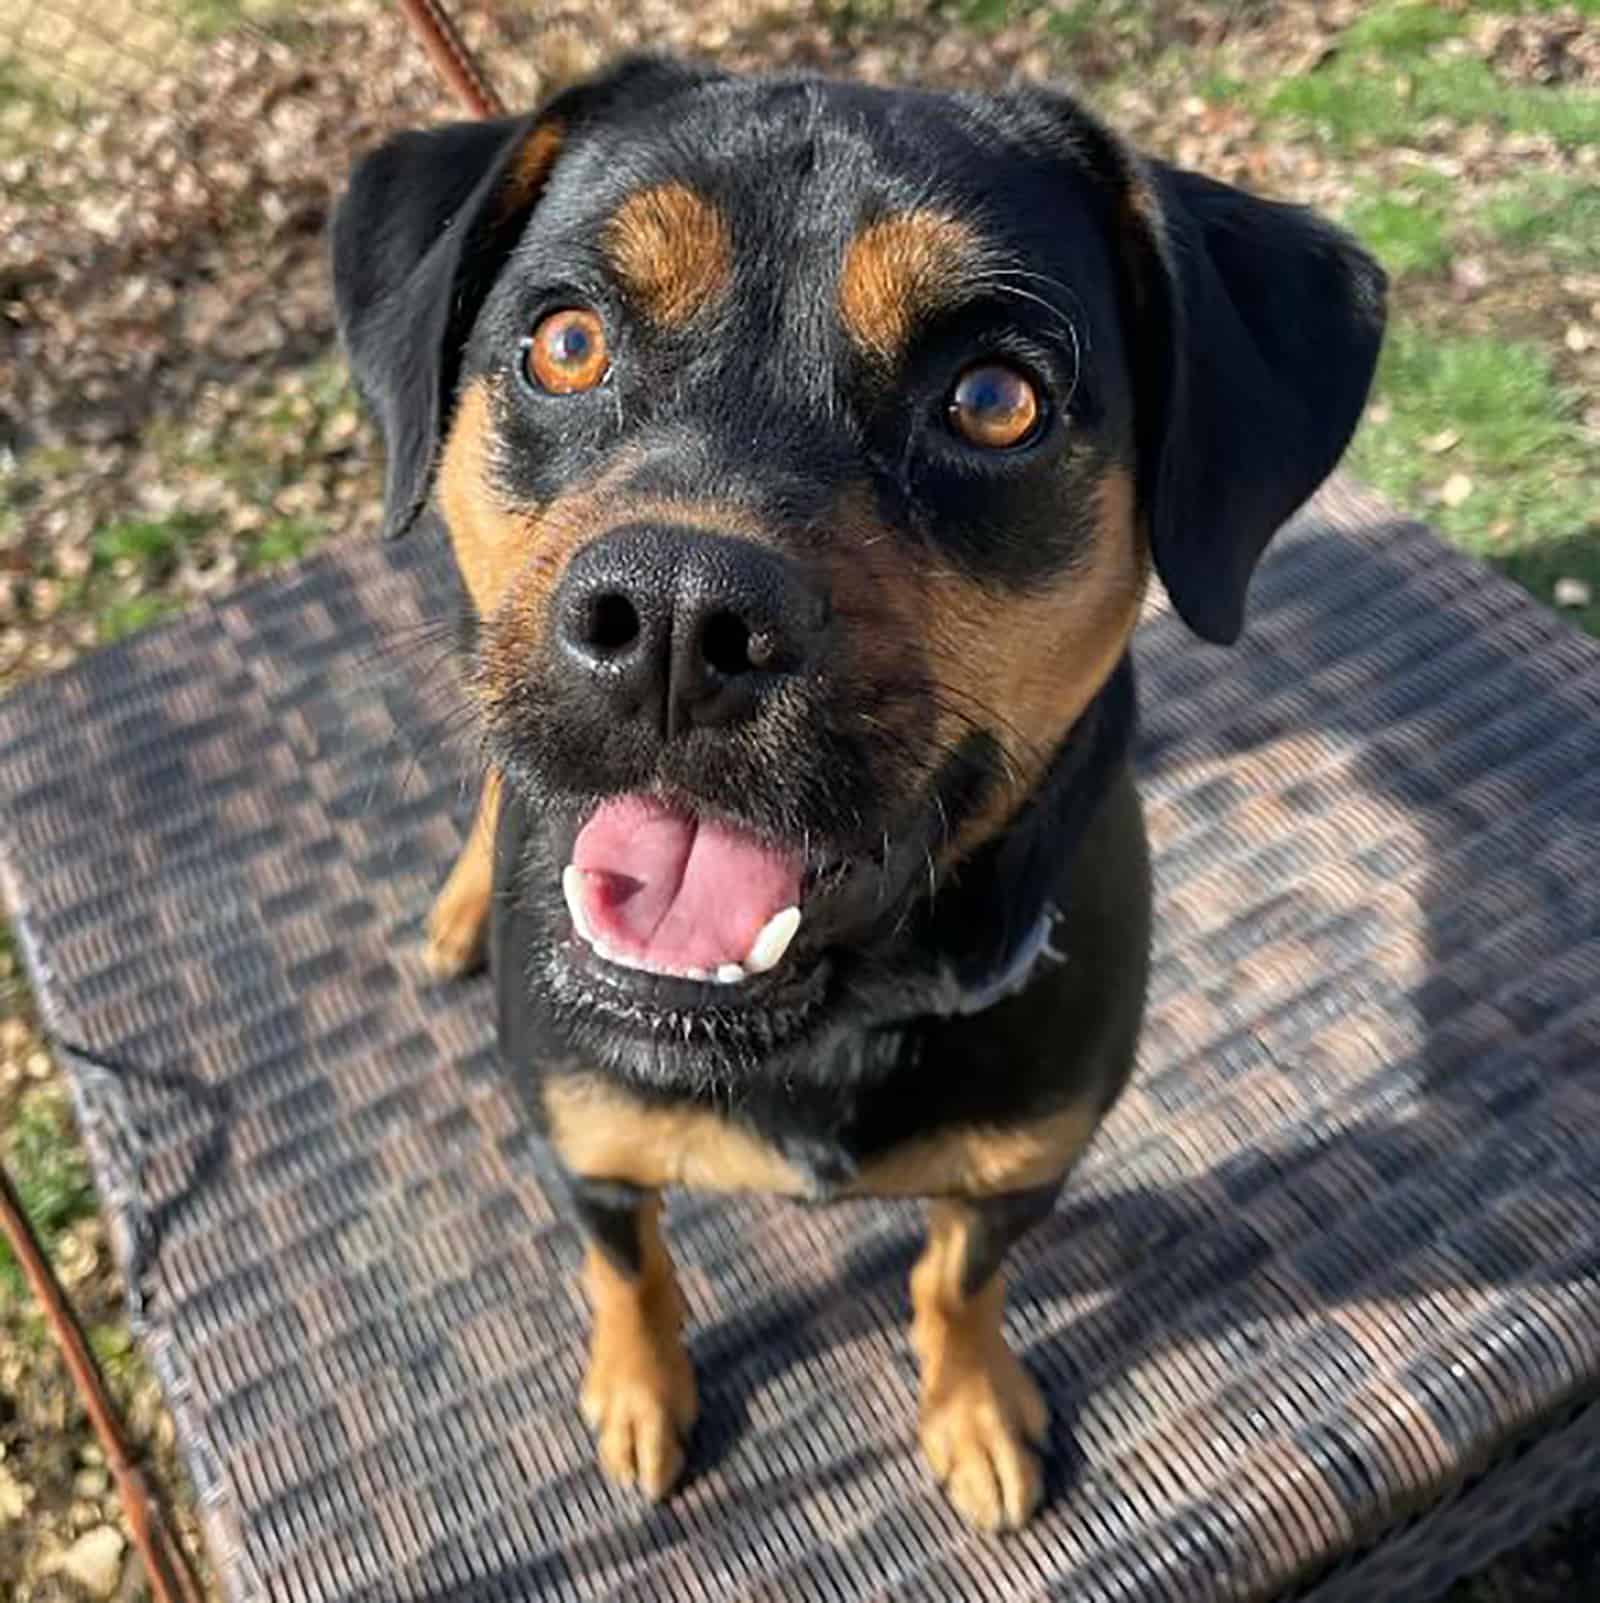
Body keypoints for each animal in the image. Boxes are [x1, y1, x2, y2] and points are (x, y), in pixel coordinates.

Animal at [331, 62, 1385, 1532]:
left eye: (995, 398)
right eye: (566, 342)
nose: (676, 619)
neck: (821, 1015)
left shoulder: (1024, 1166)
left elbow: (954, 1282)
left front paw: (975, 1409)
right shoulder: (583, 1145)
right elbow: (629, 1272)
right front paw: (641, 1392)